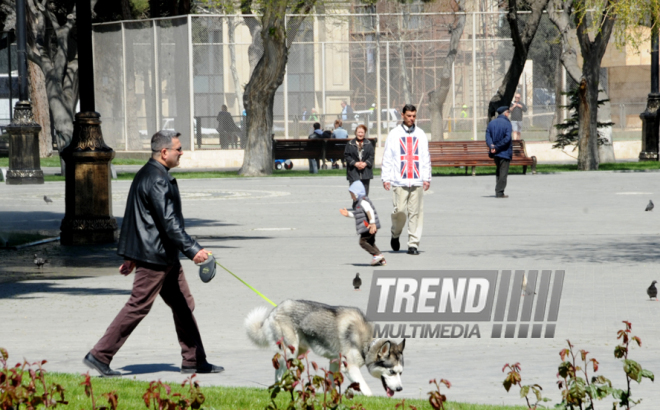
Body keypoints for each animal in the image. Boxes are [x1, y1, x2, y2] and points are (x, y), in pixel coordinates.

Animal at [245, 298, 404, 398]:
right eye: (391, 371)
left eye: (400, 373)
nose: (400, 389)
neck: (367, 343)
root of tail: (275, 310)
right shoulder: (350, 367)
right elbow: (366, 388)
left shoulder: (335, 361)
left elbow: (332, 382)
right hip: (290, 352)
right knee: (280, 373)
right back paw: (283, 389)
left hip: (298, 352)